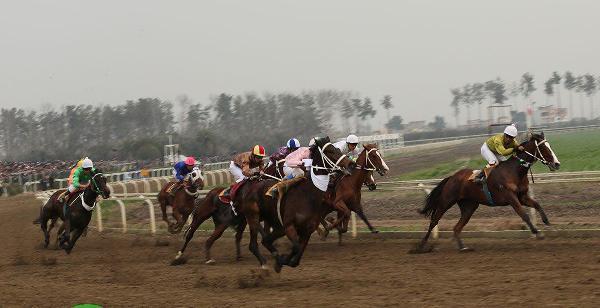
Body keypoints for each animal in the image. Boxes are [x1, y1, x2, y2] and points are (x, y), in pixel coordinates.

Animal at [238, 137, 354, 272]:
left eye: (338, 150)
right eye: (330, 151)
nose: (351, 164)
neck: (308, 194)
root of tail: (250, 186)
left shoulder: (306, 230)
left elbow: (297, 258)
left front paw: (282, 261)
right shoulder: (289, 226)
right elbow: (296, 248)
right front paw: (280, 262)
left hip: (275, 225)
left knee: (266, 240)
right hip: (253, 218)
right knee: (254, 244)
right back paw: (265, 264)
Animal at [414, 132, 560, 253]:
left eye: (550, 146)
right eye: (545, 148)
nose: (557, 164)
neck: (515, 171)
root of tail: (452, 177)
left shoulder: (522, 196)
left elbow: (537, 205)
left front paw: (546, 222)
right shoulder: (511, 197)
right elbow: (524, 214)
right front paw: (537, 232)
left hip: (469, 207)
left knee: (456, 228)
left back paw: (463, 247)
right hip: (446, 201)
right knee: (434, 221)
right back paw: (420, 247)